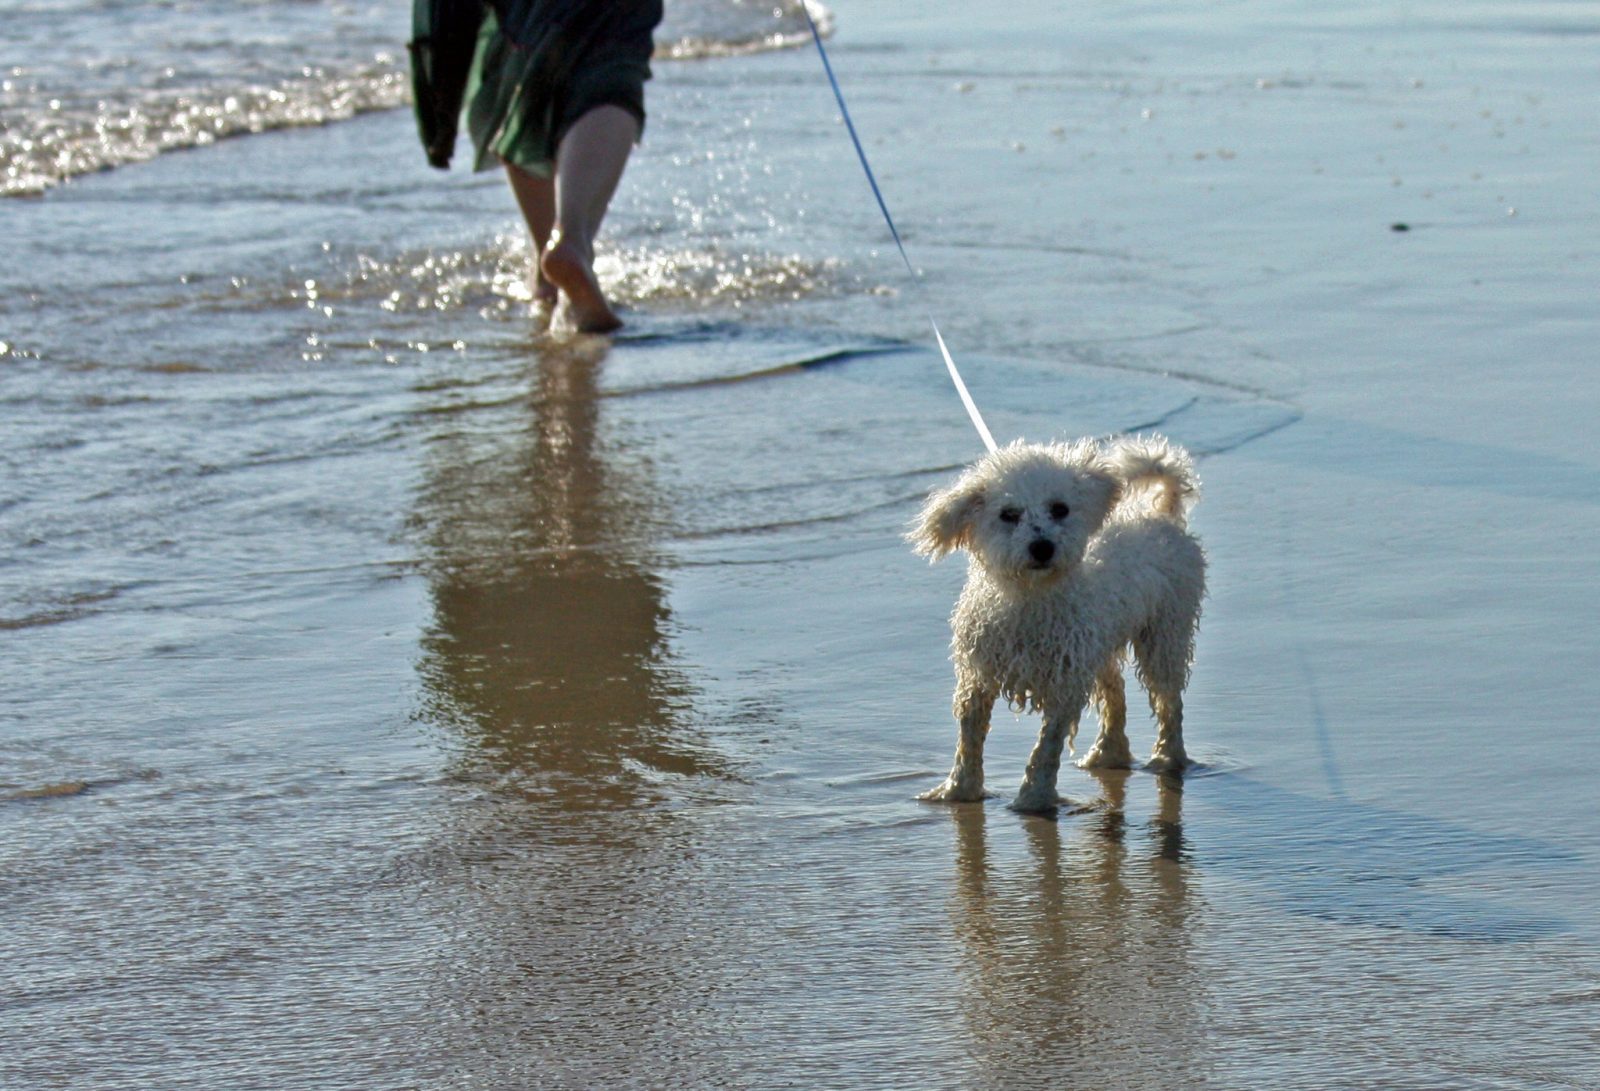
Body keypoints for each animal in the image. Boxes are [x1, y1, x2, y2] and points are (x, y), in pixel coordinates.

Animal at [908, 431, 1203, 806]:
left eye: (1060, 509)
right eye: (1009, 514)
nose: (1042, 547)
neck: (1029, 596)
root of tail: (1163, 515)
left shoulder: (1065, 683)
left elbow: (1047, 746)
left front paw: (1033, 798)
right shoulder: (978, 676)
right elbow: (969, 737)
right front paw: (959, 790)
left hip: (1165, 633)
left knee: (1169, 700)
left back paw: (1168, 757)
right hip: (1098, 645)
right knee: (1115, 691)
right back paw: (1108, 754)